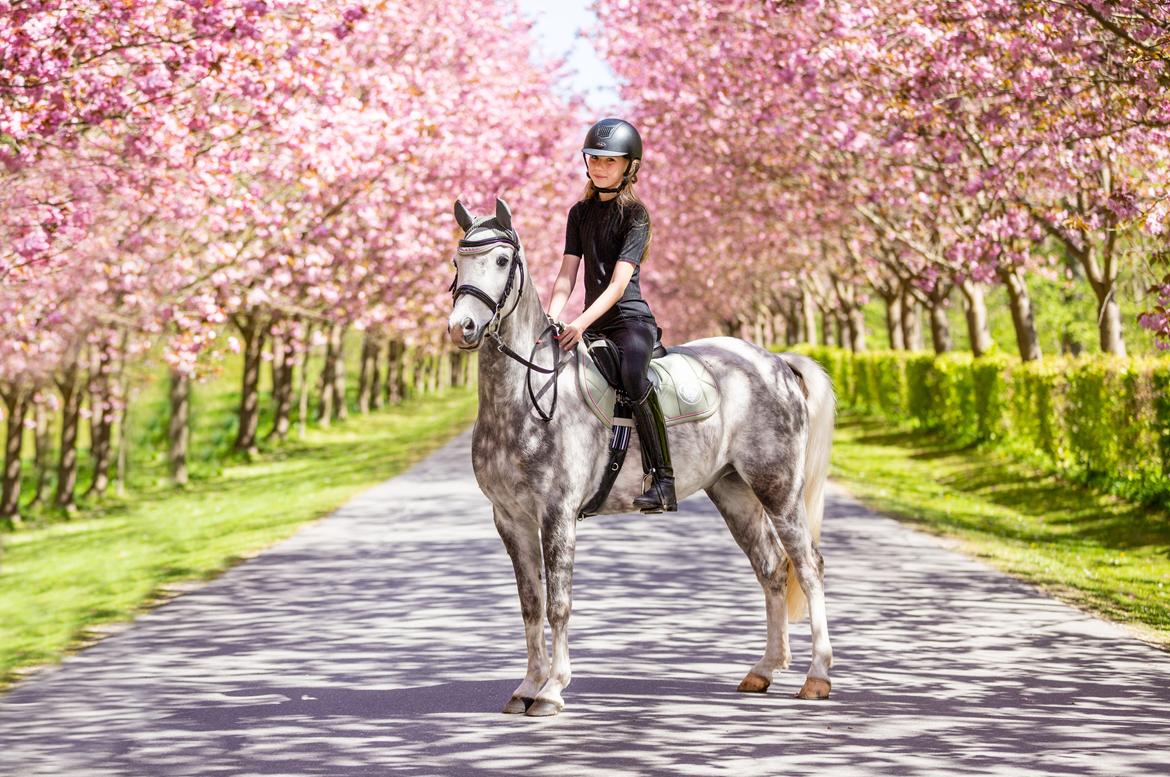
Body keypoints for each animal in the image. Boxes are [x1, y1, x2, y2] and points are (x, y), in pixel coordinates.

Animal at [446, 197, 835, 717]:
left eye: (503, 261)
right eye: (457, 262)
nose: (462, 328)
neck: (529, 395)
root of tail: (774, 361)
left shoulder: (557, 515)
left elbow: (558, 604)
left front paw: (551, 691)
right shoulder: (510, 518)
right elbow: (530, 603)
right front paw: (527, 686)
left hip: (778, 489)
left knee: (808, 567)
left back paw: (817, 677)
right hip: (732, 491)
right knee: (771, 568)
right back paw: (764, 670)